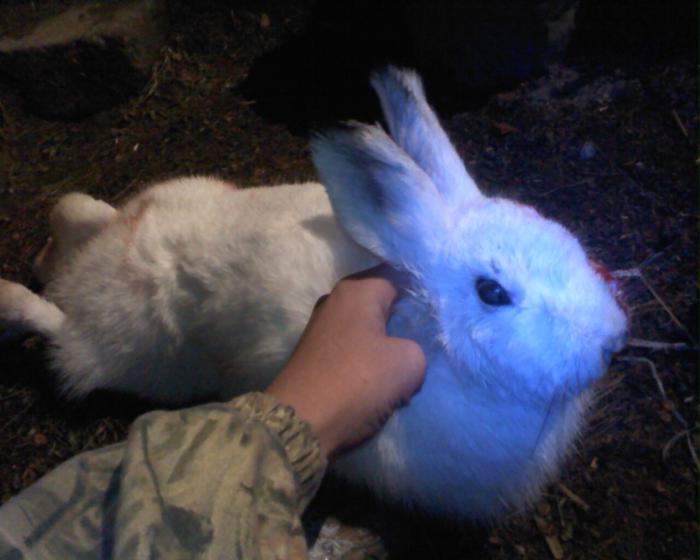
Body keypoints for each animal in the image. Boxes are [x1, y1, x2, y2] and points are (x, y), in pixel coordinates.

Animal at [0, 67, 628, 518]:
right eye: (492, 292)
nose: (612, 342)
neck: (423, 325)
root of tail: (112, 260)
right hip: (122, 353)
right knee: (57, 330)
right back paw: (13, 296)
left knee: (75, 210)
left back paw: (44, 258)